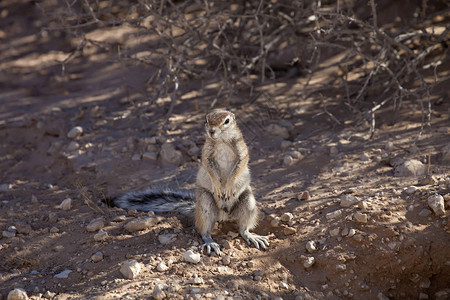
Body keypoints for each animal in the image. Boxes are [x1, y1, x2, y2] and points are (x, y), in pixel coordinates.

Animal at [109, 109, 268, 254]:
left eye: (226, 121)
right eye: (206, 119)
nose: (211, 131)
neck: (222, 140)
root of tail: (224, 216)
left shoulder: (242, 150)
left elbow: (240, 165)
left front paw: (228, 186)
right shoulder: (206, 153)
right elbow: (209, 167)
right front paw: (218, 186)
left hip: (248, 201)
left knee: (243, 229)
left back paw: (252, 236)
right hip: (205, 202)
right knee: (204, 231)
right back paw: (211, 243)